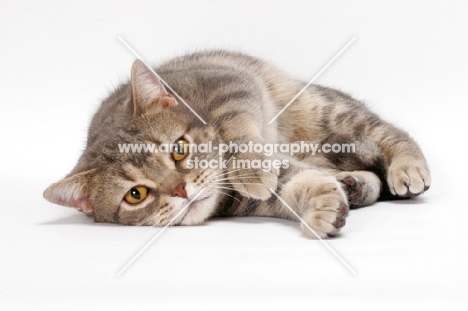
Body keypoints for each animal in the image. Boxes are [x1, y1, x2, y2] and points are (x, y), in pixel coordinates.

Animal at [44, 51, 432, 239]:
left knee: (388, 133)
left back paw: (407, 166)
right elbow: (290, 186)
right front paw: (322, 205)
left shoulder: (227, 85)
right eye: (135, 195)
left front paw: (253, 170)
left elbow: (236, 125)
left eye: (179, 148)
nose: (181, 190)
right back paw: (355, 185)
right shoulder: (240, 200)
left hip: (324, 111)